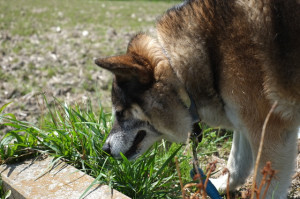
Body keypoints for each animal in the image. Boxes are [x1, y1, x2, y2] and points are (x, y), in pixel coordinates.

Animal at [95, 0, 298, 198]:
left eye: (120, 113)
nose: (104, 149)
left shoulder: (269, 132)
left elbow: (265, 188)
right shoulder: (244, 121)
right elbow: (237, 161)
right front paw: (222, 185)